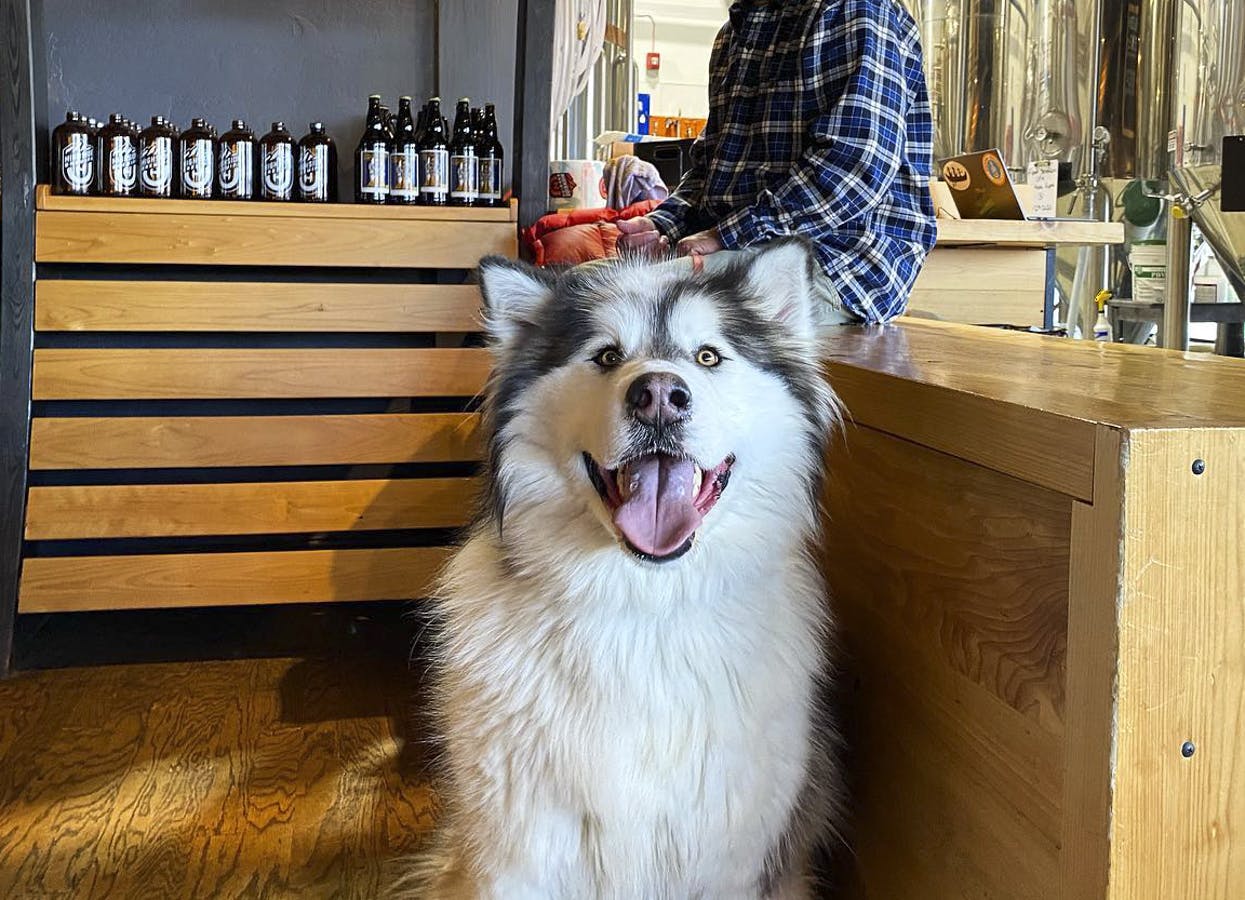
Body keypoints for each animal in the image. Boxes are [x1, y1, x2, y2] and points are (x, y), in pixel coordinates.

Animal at [408, 239, 846, 900]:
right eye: (607, 356)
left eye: (709, 356)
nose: (660, 394)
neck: (645, 605)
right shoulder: (518, 850)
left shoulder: (728, 856)